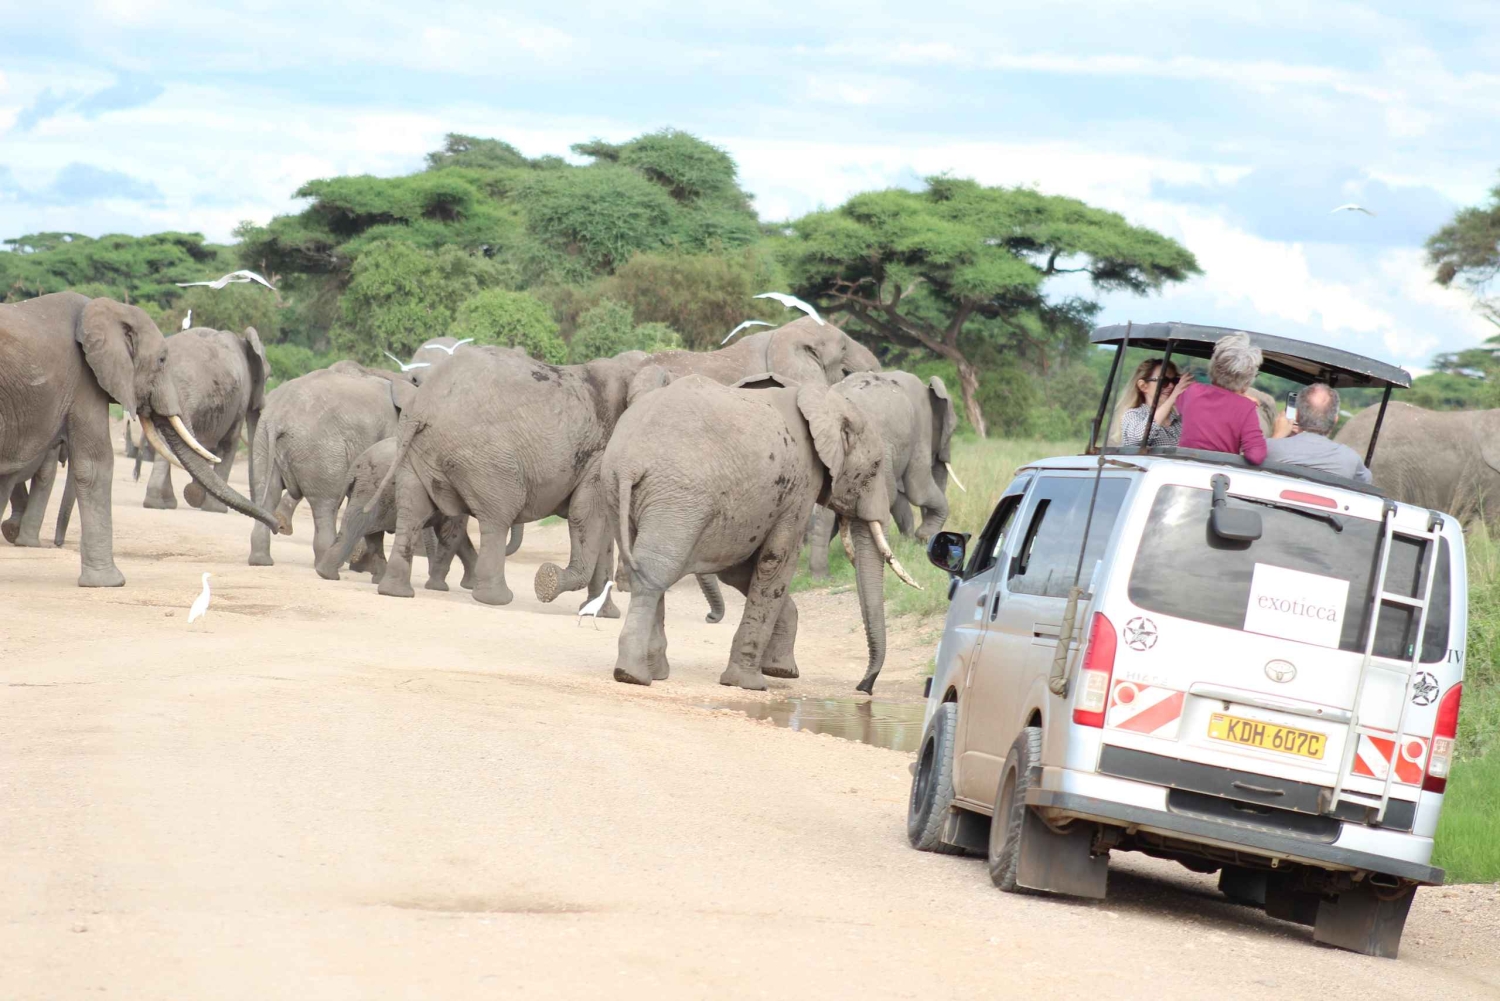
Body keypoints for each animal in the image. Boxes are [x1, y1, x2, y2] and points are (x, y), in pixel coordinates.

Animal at [141, 325, 268, 512]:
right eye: (268, 377)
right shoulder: (241, 399)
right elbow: (229, 443)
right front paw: (217, 509)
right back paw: (162, 502)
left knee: (165, 444)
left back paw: (160, 503)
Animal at [248, 361, 411, 568]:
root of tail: (277, 417)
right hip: (319, 448)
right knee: (325, 503)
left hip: (263, 442)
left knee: (268, 492)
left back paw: (261, 561)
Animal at [372, 346, 646, 610]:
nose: (547, 578)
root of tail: (422, 405)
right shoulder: (600, 455)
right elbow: (586, 515)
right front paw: (550, 583)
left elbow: (603, 527)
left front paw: (606, 614)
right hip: (485, 458)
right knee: (498, 516)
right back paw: (496, 599)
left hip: (412, 453)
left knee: (412, 512)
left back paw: (395, 592)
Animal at [602, 376, 919, 692]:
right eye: (875, 467)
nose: (864, 687)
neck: (825, 401)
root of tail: (630, 462)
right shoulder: (801, 486)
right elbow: (776, 561)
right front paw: (748, 683)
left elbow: (740, 571)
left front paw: (782, 671)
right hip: (678, 496)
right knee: (655, 573)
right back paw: (633, 675)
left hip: (622, 491)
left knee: (644, 567)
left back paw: (651, 673)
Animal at [809, 371, 959, 577]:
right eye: (952, 430)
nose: (927, 544)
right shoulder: (921, 426)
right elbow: (917, 487)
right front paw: (923, 536)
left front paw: (910, 541)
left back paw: (820, 577)